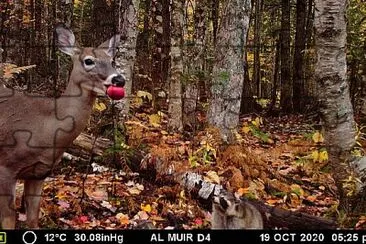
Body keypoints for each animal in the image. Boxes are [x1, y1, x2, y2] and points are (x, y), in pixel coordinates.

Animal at [0, 22, 126, 229]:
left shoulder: (39, 172)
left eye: (111, 61)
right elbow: (8, 220)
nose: (119, 79)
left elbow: (33, 218)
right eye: (88, 61)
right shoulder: (6, 167)